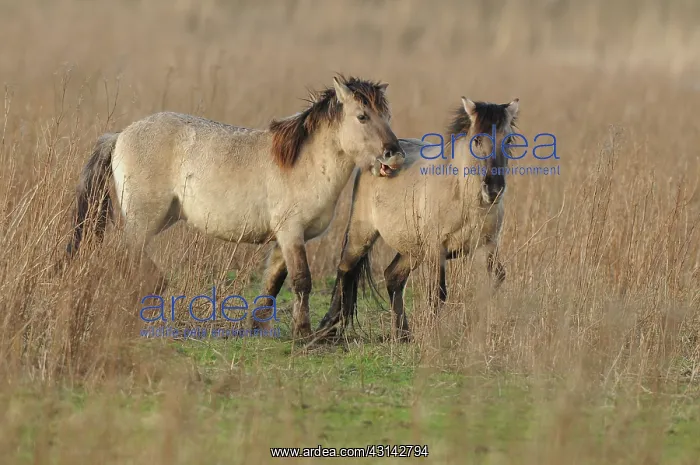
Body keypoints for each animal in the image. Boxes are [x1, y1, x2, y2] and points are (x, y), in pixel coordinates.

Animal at [64, 75, 406, 339]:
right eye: (362, 116)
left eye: (388, 117)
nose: (395, 155)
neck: (304, 163)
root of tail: (120, 135)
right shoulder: (292, 233)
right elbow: (302, 281)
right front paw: (305, 336)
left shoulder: (284, 240)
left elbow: (273, 283)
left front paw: (256, 328)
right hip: (144, 220)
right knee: (126, 255)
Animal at [315, 97, 519, 341]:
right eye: (477, 139)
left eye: (508, 139)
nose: (494, 189)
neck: (464, 197)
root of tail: (378, 162)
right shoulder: (436, 249)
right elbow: (437, 293)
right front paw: (434, 337)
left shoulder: (487, 246)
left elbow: (495, 280)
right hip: (361, 235)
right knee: (345, 269)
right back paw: (326, 328)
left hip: (412, 250)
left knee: (393, 277)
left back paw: (402, 335)